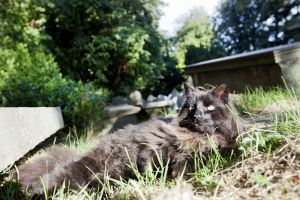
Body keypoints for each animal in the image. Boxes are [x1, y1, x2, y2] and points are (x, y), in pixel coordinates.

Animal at [18, 82, 239, 194]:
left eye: (209, 107)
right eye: (192, 107)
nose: (197, 116)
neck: (194, 135)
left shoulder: (204, 154)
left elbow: (187, 164)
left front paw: (177, 178)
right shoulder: (153, 148)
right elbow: (148, 161)